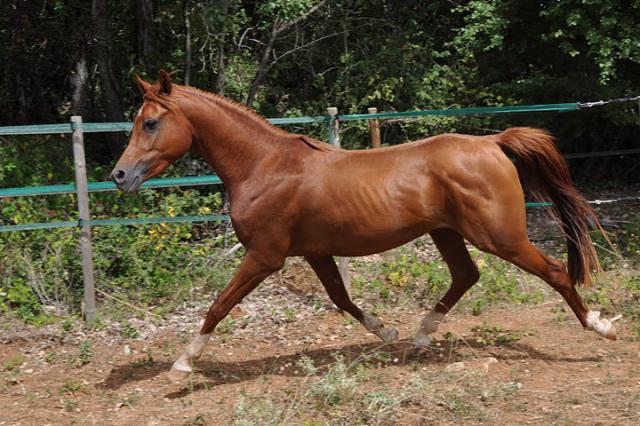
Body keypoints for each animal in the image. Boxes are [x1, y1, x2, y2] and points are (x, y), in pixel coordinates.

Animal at [112, 71, 616, 382]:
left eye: (151, 122)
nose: (119, 176)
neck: (265, 166)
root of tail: (492, 143)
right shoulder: (315, 252)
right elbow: (341, 299)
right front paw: (387, 333)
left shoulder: (265, 256)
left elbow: (218, 305)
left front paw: (182, 364)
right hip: (447, 232)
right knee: (465, 275)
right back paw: (419, 335)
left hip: (500, 236)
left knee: (554, 271)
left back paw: (601, 327)